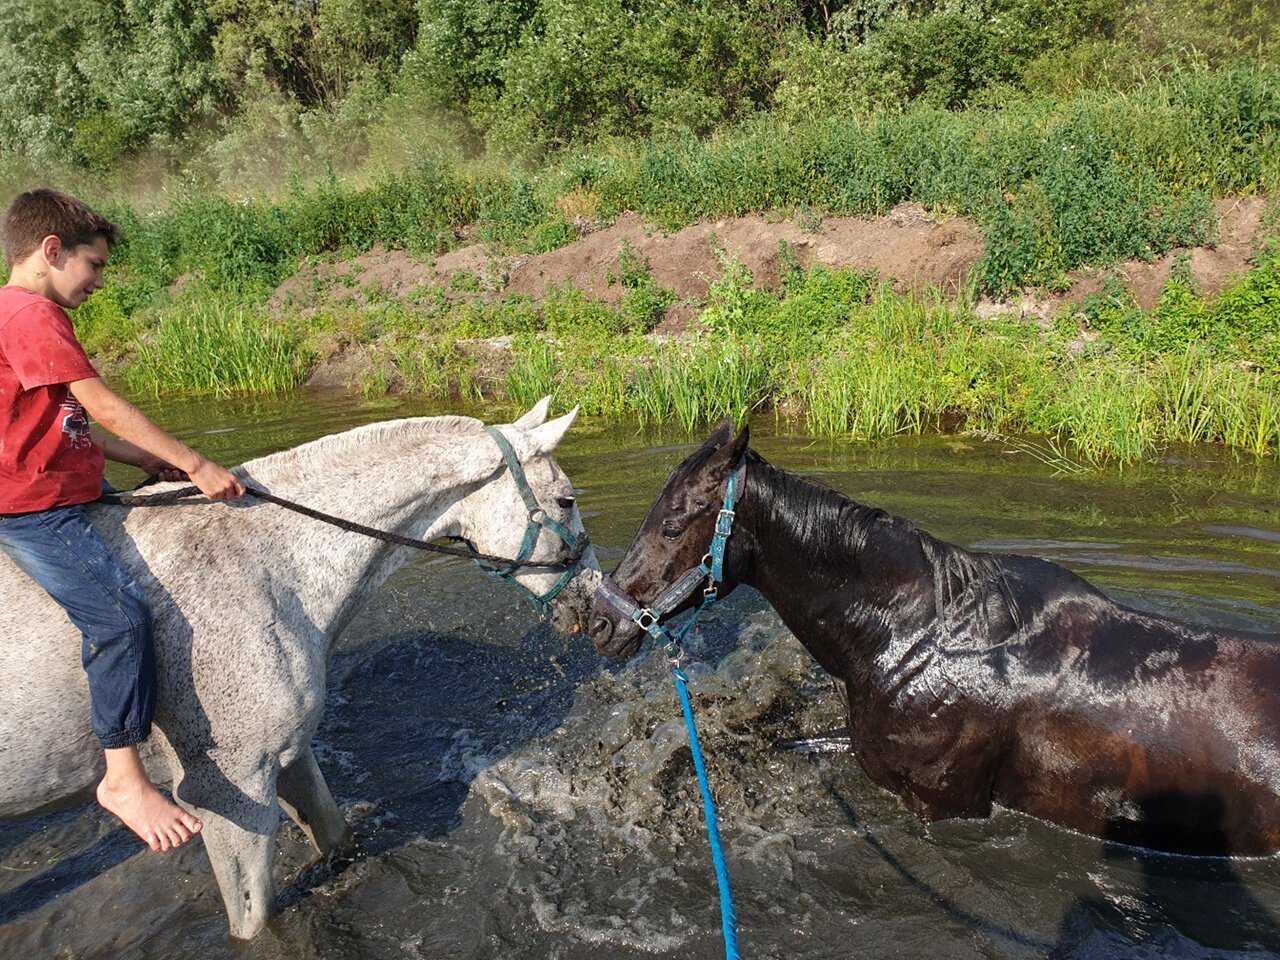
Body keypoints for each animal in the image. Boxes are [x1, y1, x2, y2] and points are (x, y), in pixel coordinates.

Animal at [1, 399, 599, 942]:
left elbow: (335, 836)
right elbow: (254, 923)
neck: (265, 562)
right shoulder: (226, 792)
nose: (597, 607)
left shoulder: (284, 758)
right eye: (566, 500)